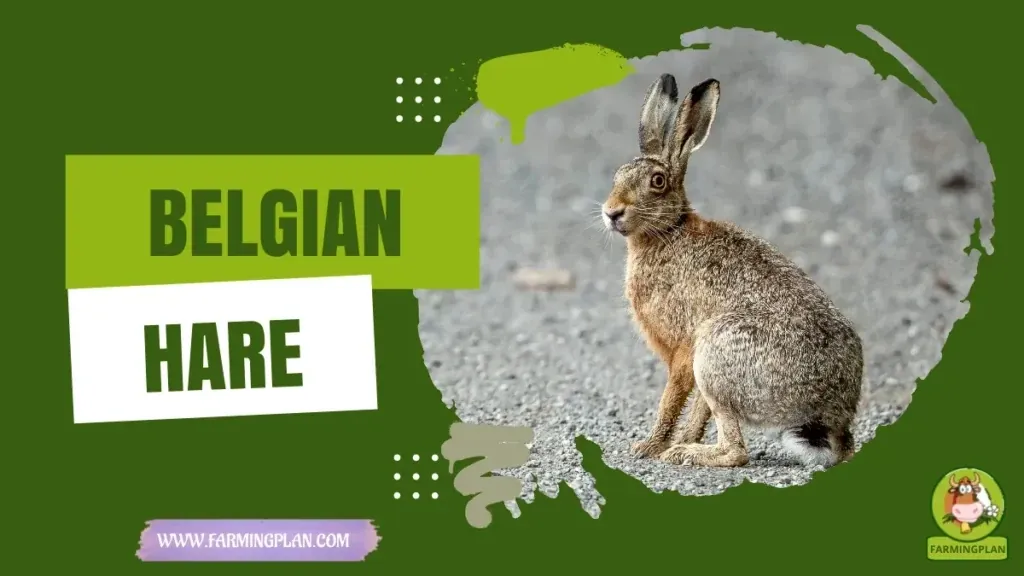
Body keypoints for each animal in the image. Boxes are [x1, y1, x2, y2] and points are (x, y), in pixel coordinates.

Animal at [601, 74, 863, 468]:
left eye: (657, 181)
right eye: (618, 175)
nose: (611, 211)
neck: (668, 231)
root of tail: (835, 413)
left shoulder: (686, 348)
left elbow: (672, 399)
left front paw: (650, 447)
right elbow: (697, 410)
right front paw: (680, 438)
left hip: (717, 353)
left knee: (737, 452)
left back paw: (686, 454)